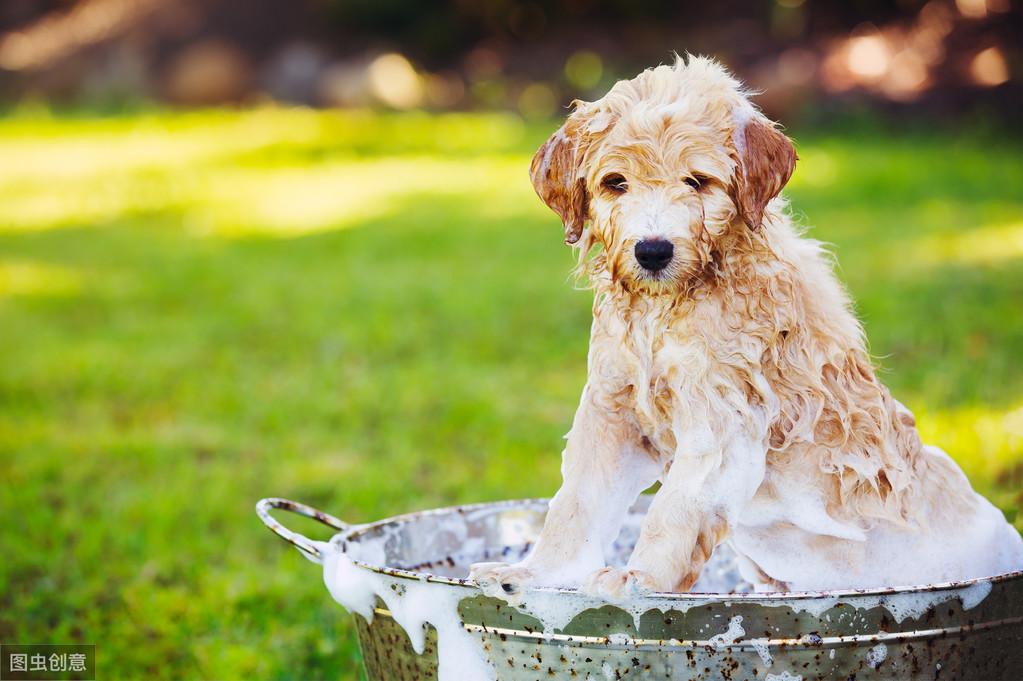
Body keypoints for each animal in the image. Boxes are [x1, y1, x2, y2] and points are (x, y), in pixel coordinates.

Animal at [470, 57, 1023, 601]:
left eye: (697, 181)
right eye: (615, 183)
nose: (653, 251)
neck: (667, 313)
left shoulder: (721, 424)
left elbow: (669, 512)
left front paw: (639, 580)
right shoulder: (611, 410)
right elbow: (575, 505)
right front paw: (537, 574)